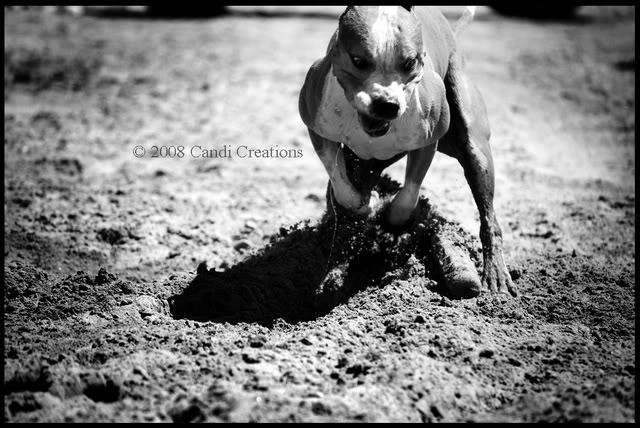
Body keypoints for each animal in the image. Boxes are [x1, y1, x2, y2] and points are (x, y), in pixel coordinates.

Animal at [298, 5, 516, 298]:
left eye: (410, 62)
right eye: (358, 60)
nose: (386, 104)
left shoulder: (428, 142)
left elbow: (409, 194)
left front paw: (391, 217)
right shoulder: (319, 132)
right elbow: (343, 188)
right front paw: (366, 205)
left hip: (474, 147)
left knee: (488, 216)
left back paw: (495, 271)